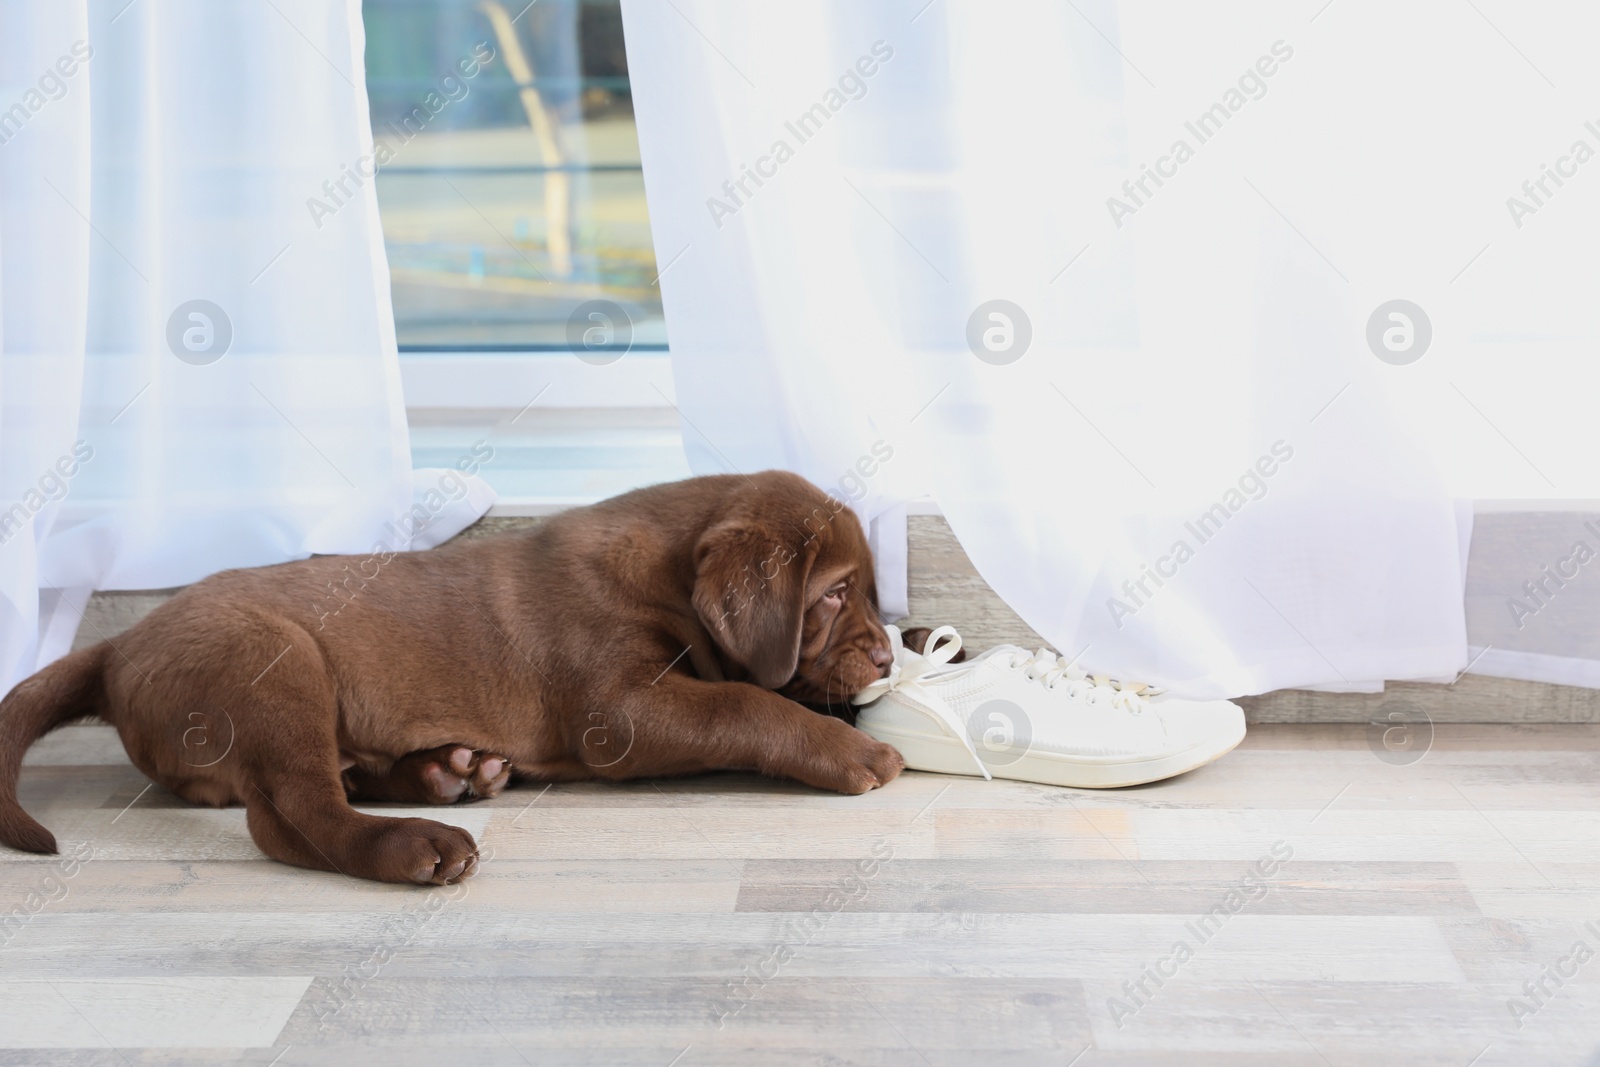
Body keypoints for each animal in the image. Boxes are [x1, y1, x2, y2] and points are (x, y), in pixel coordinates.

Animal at [0, 476, 908, 883]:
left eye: (868, 591)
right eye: (833, 593)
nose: (888, 657)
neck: (667, 573)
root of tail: (119, 645)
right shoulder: (620, 709)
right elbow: (745, 699)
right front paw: (850, 749)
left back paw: (450, 770)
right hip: (276, 659)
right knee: (289, 814)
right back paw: (416, 841)